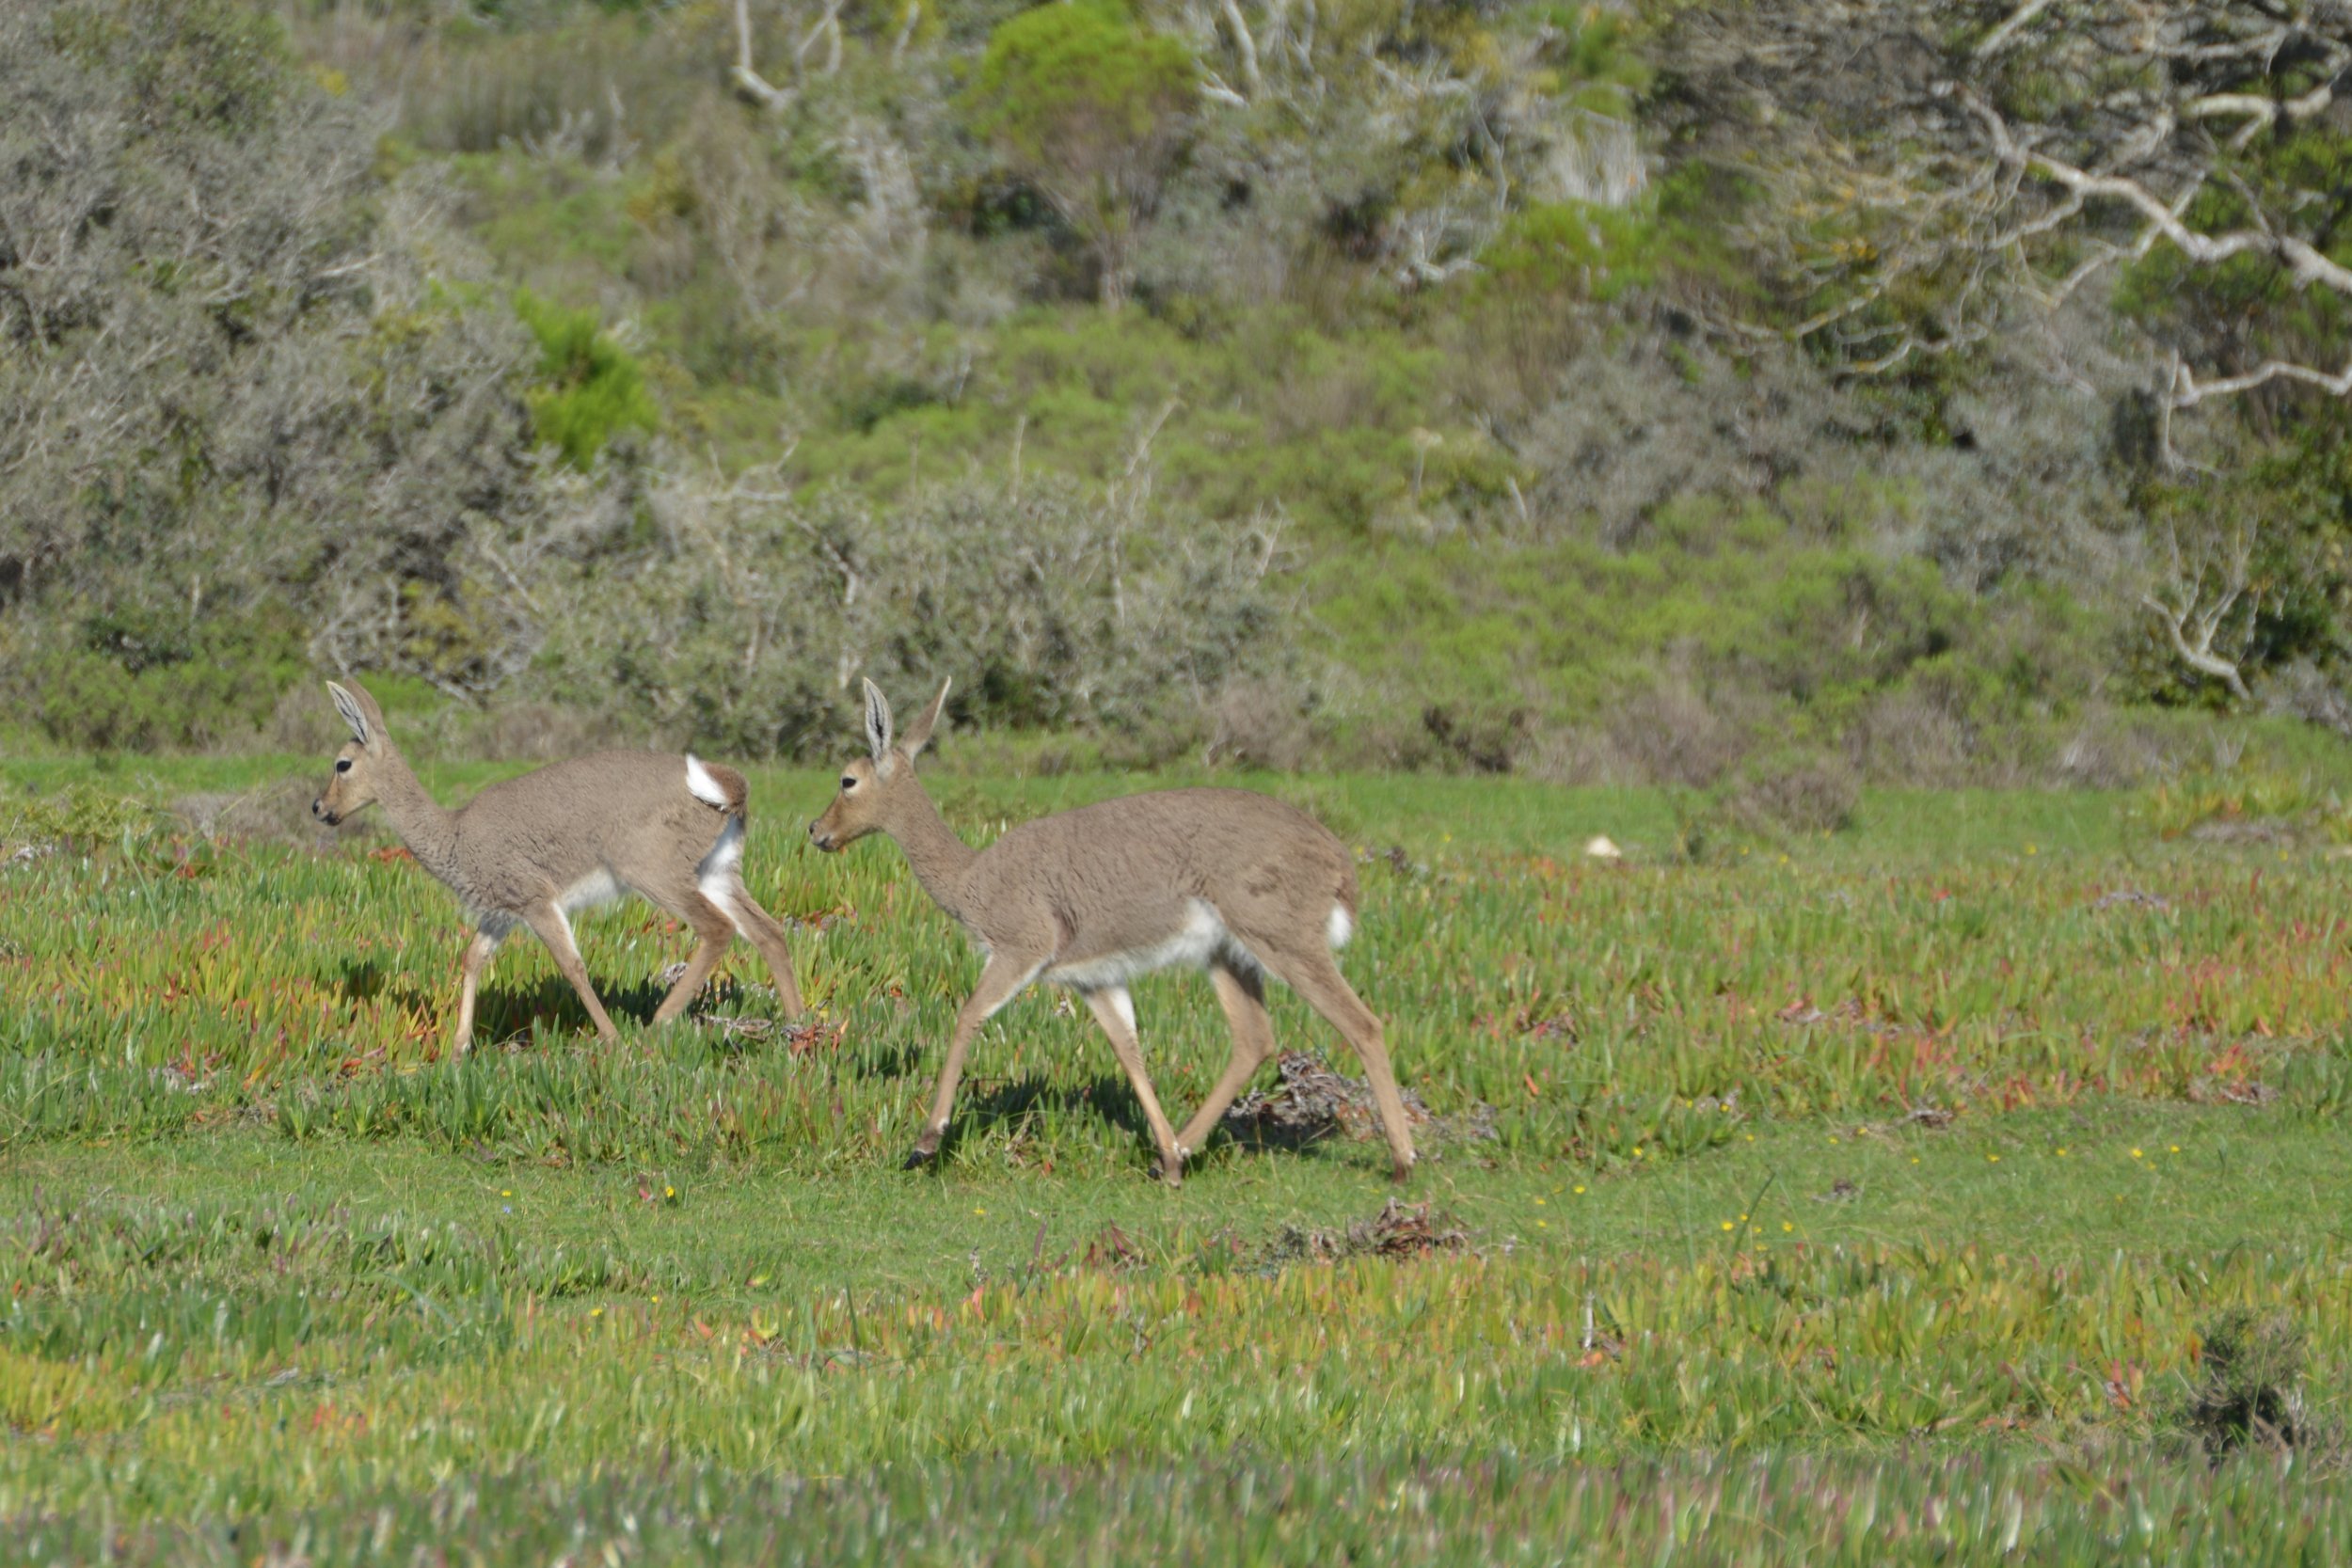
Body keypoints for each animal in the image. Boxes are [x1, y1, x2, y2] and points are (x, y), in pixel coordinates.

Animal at [308, 676, 804, 1053]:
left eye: (342, 763)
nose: (318, 807)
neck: (456, 836)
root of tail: (728, 786)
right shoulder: (501, 911)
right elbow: (472, 959)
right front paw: (458, 1048)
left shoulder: (534, 897)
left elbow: (572, 965)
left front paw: (611, 1037)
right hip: (716, 869)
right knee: (767, 930)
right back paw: (800, 1025)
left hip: (651, 869)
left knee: (718, 928)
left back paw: (658, 1021)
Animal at [809, 681, 1411, 1184]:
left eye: (847, 778)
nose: (816, 829)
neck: (971, 879)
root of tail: (1342, 869)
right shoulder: (1092, 978)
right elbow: (1128, 1049)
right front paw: (1167, 1154)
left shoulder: (1020, 949)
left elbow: (967, 1017)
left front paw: (924, 1144)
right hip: (1228, 955)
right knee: (1255, 1038)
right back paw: (1179, 1153)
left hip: (1284, 941)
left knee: (1363, 1023)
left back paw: (1403, 1160)